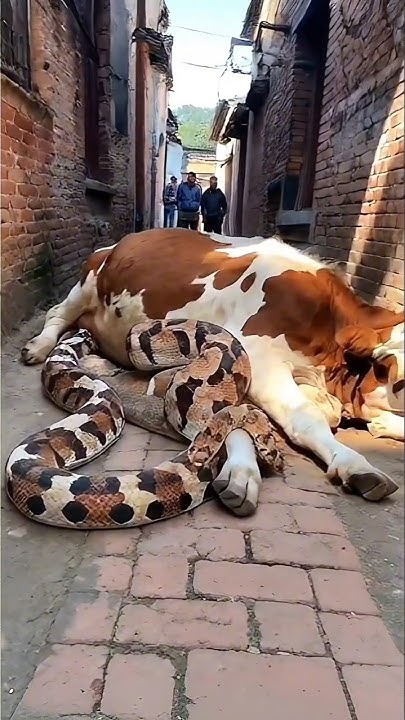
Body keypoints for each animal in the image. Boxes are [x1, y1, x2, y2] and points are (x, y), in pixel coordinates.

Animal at [21, 229, 404, 503]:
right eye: (397, 377)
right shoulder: (257, 356)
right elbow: (302, 418)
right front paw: (354, 464)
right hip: (85, 286)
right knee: (56, 313)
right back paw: (37, 347)